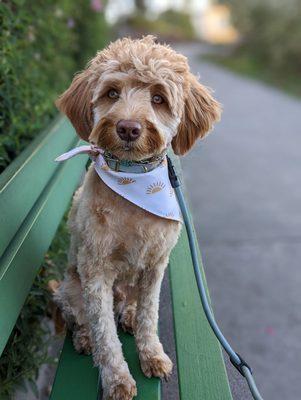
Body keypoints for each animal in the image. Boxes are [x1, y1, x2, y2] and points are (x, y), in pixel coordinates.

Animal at [52, 36, 219, 398]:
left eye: (158, 98)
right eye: (112, 93)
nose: (128, 128)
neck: (134, 185)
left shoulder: (156, 266)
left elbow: (149, 314)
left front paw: (151, 353)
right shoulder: (95, 269)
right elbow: (104, 332)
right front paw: (117, 379)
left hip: (132, 280)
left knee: (131, 304)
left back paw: (127, 314)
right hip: (71, 287)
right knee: (80, 317)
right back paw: (84, 337)